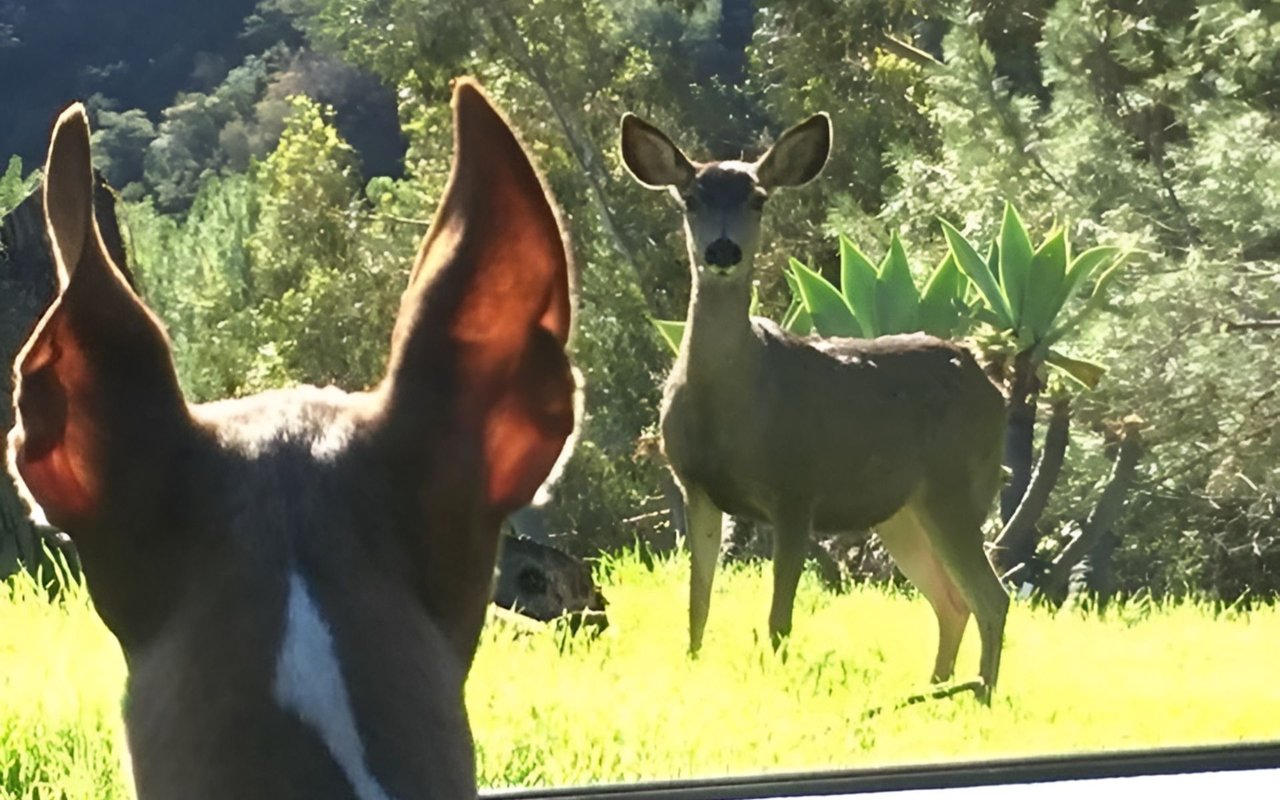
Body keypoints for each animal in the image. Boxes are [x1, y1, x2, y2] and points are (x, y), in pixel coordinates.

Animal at [619, 113, 1010, 702]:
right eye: (690, 198)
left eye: (757, 198)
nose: (722, 251)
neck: (733, 406)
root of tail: (995, 386)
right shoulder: (696, 487)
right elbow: (697, 604)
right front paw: (692, 666)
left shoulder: (797, 487)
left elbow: (778, 615)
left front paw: (775, 680)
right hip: (902, 511)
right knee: (951, 600)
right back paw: (934, 690)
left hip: (956, 485)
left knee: (992, 597)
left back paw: (978, 696)